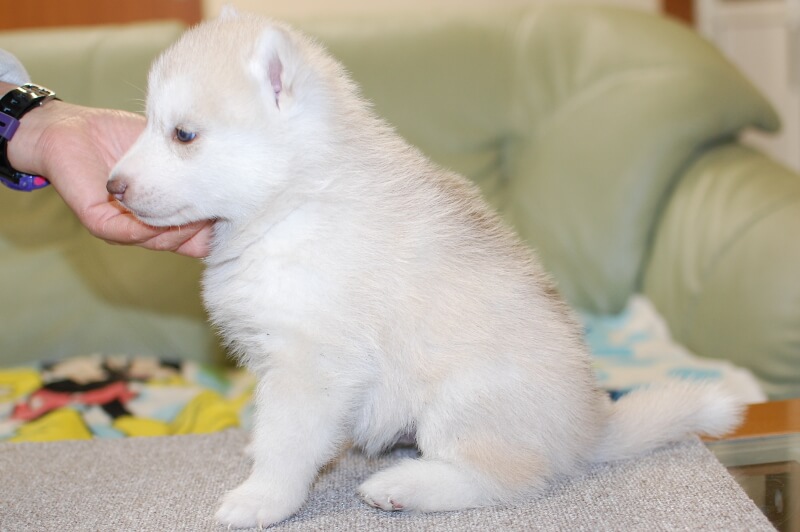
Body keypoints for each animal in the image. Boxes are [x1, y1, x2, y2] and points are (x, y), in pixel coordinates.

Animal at [106, 7, 744, 528]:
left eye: (183, 134)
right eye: (148, 123)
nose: (113, 185)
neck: (292, 203)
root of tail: (589, 426)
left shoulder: (311, 361)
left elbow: (289, 440)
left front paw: (262, 497)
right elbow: (280, 428)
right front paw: (260, 454)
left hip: (462, 399)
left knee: (503, 477)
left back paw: (406, 484)